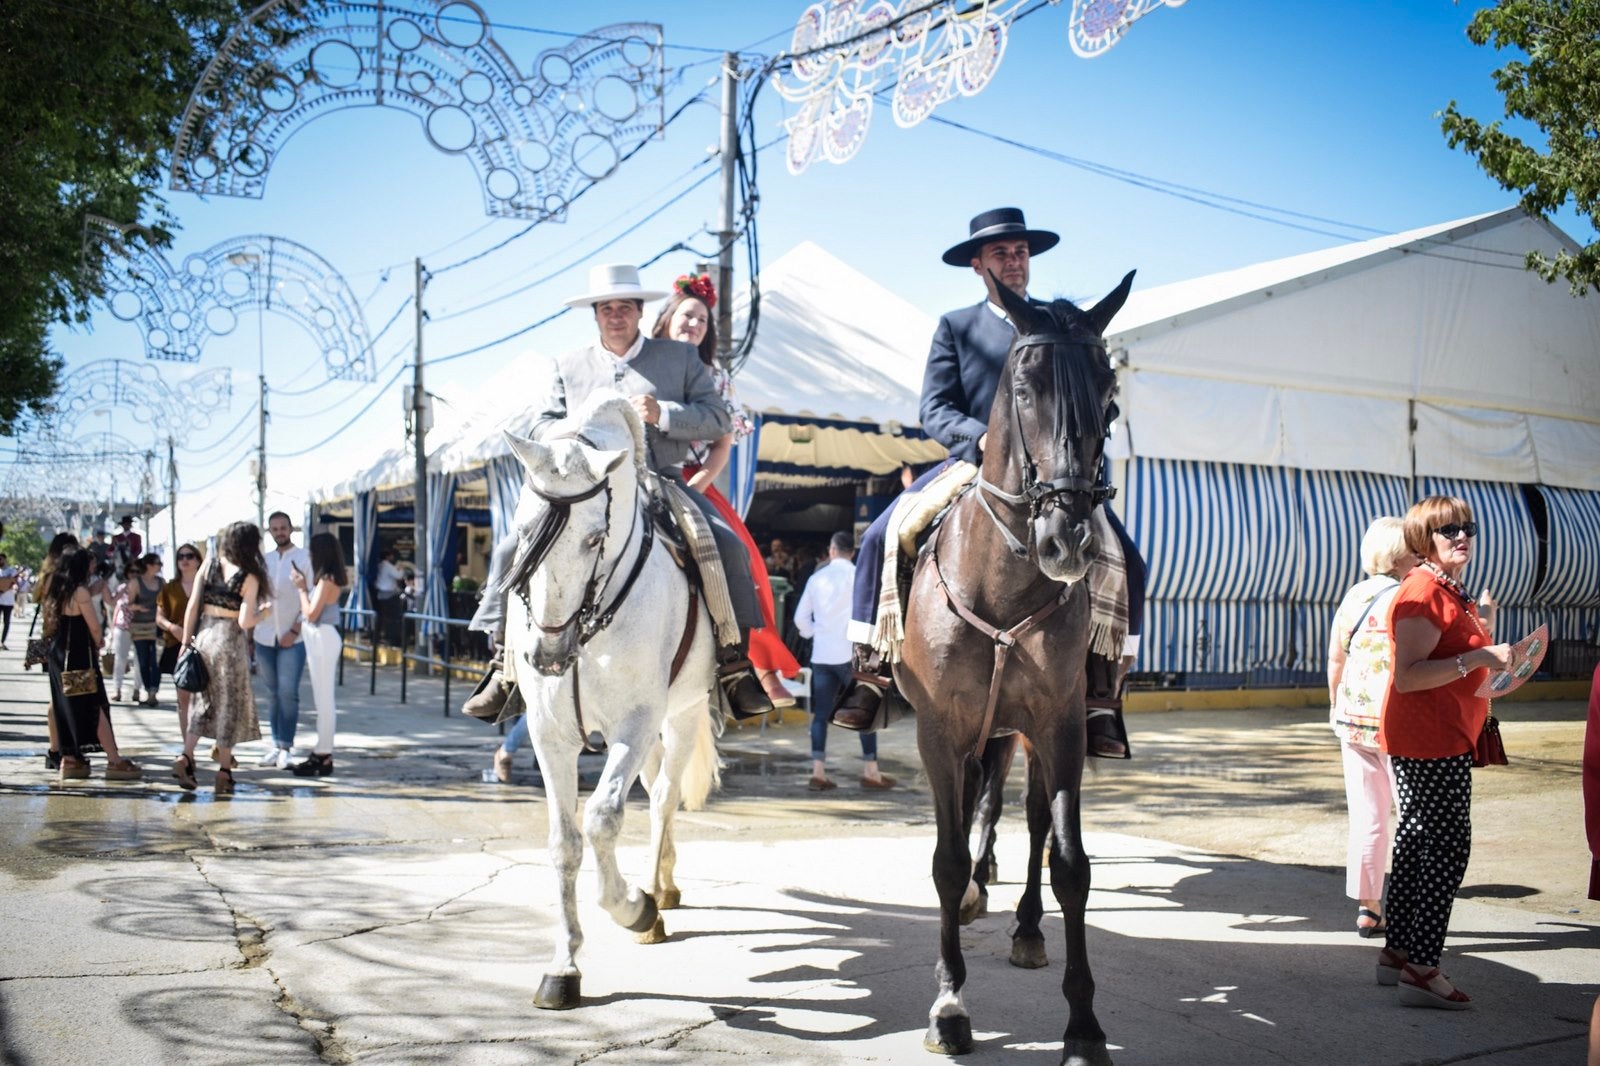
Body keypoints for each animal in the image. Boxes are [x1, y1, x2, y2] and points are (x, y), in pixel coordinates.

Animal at [502, 388, 723, 1005]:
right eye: (522, 531)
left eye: (594, 539)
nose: (548, 653)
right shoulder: (549, 735)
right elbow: (565, 841)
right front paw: (563, 965)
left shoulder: (636, 722)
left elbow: (602, 818)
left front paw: (632, 907)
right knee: (652, 789)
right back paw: (662, 885)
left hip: (683, 714)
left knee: (665, 796)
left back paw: (656, 896)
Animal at [896, 272, 1132, 1062]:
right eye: (1025, 389)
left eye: (1110, 399)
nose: (1067, 540)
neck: (1002, 582)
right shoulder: (940, 729)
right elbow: (943, 860)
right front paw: (947, 1006)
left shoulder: (1059, 725)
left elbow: (1070, 863)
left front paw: (1084, 1027)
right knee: (981, 810)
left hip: (1022, 731)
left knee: (1023, 821)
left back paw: (1026, 927)